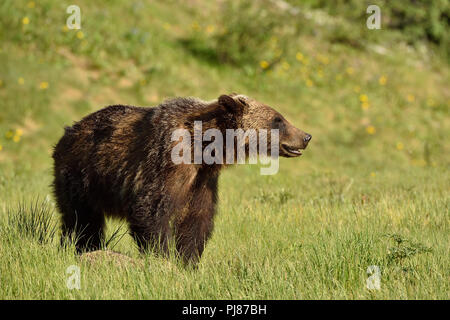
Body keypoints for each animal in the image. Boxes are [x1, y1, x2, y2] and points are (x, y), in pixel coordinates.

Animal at [51, 94, 310, 264]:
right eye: (278, 119)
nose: (306, 136)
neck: (205, 147)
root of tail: (69, 130)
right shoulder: (168, 161)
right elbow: (151, 208)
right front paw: (162, 257)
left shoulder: (202, 179)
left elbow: (197, 218)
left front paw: (188, 261)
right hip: (80, 173)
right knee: (81, 219)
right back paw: (81, 248)